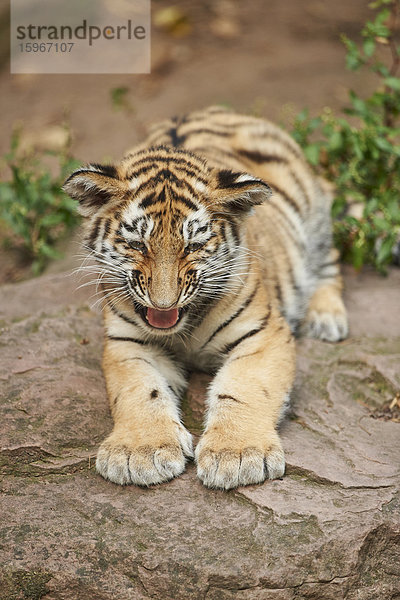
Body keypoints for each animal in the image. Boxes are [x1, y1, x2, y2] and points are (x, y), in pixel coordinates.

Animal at [62, 105, 346, 490]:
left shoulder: (263, 334)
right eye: (137, 244)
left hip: (317, 217)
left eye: (193, 246)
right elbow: (140, 391)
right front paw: (140, 452)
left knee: (330, 262)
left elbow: (242, 387)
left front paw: (237, 455)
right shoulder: (128, 343)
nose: (163, 305)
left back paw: (326, 318)